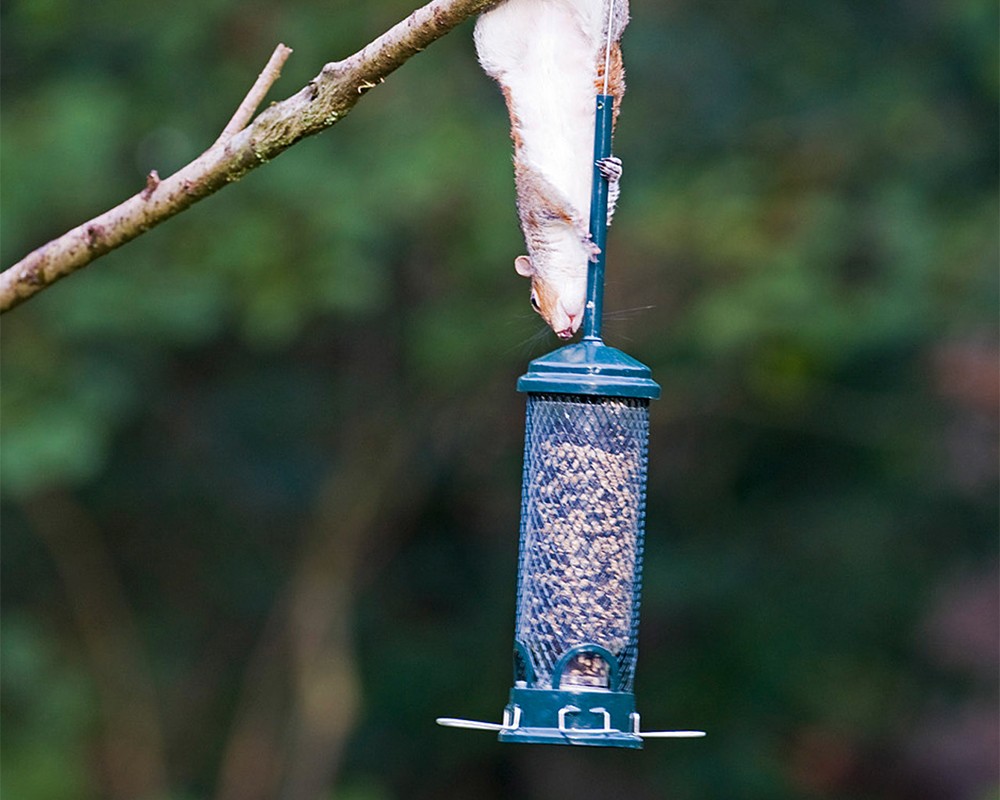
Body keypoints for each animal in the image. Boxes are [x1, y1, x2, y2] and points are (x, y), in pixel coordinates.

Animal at [475, 0, 628, 339]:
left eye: (533, 300)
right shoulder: (539, 190)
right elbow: (574, 205)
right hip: (493, 42)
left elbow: (581, 205)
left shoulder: (535, 196)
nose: (563, 334)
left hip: (597, 21)